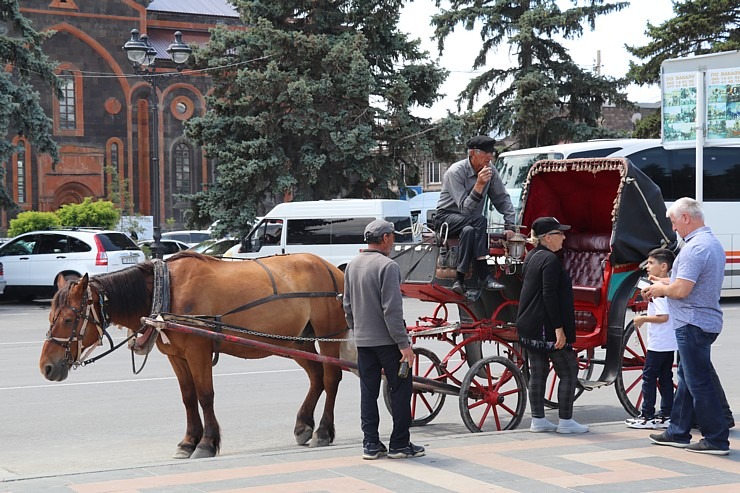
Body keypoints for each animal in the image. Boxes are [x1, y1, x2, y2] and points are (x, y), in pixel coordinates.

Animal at [39, 252, 352, 460]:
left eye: (68, 319)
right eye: (51, 317)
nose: (46, 367)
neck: (165, 291)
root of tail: (334, 269)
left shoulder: (198, 351)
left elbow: (205, 395)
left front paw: (207, 442)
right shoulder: (176, 355)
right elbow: (188, 397)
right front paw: (189, 441)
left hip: (328, 336)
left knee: (332, 377)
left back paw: (323, 431)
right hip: (297, 341)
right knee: (317, 376)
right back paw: (304, 424)